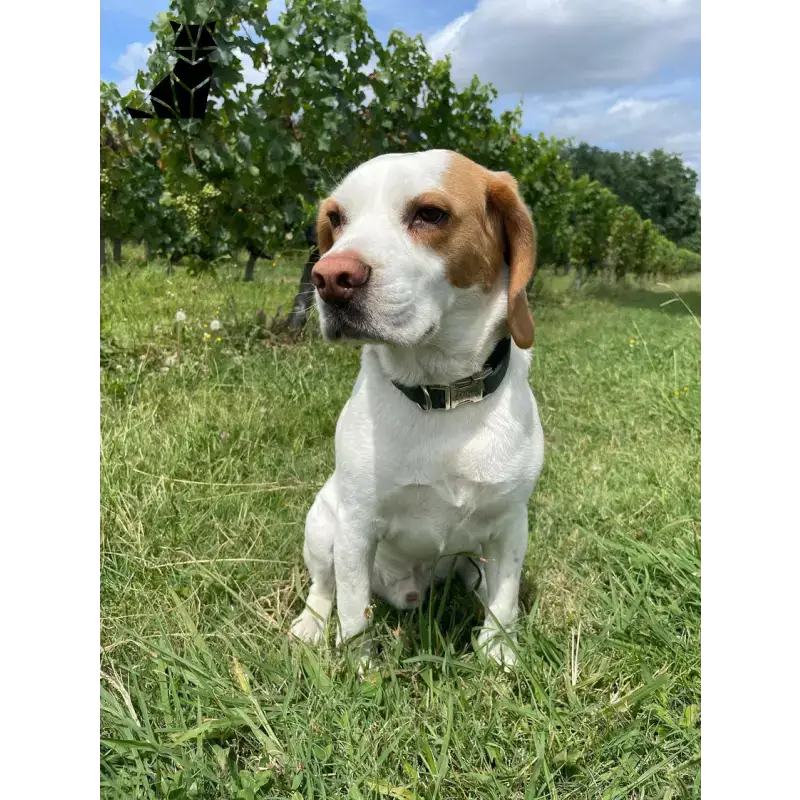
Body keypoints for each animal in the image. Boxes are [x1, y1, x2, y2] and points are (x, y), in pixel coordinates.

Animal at [290, 147, 548, 664]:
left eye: (430, 214)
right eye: (336, 219)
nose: (329, 277)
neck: (441, 396)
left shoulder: (511, 524)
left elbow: (504, 601)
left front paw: (498, 654)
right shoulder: (355, 528)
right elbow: (353, 612)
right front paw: (360, 668)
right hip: (322, 525)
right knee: (323, 587)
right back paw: (310, 624)